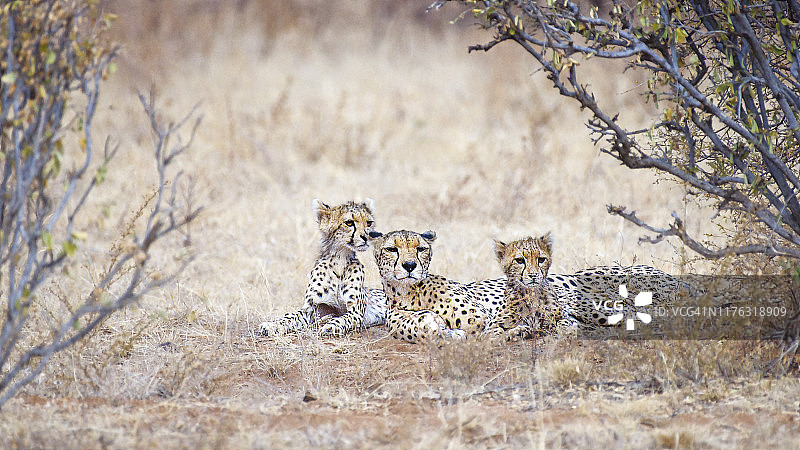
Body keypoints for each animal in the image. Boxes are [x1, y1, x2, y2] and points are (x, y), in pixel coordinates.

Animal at [260, 200, 388, 338]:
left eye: (369, 223)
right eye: (349, 223)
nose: (368, 236)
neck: (340, 259)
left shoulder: (356, 311)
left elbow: (343, 318)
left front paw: (330, 326)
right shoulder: (312, 307)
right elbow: (291, 316)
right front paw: (272, 325)